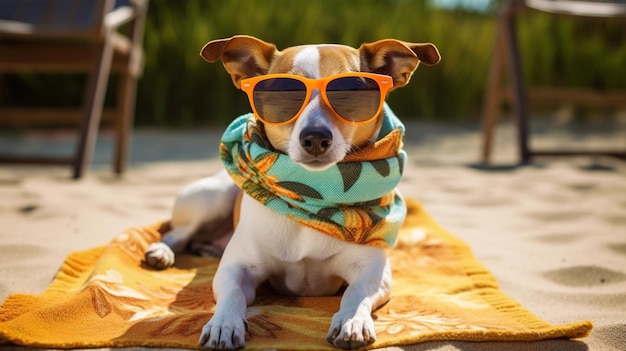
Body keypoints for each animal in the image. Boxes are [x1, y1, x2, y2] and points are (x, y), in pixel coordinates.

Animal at [146, 34, 438, 350]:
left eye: (350, 92)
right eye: (283, 94)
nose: (315, 137)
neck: (313, 193)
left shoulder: (374, 272)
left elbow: (357, 292)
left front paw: (352, 321)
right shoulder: (236, 269)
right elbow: (233, 293)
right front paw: (223, 323)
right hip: (213, 198)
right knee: (178, 233)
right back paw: (162, 251)